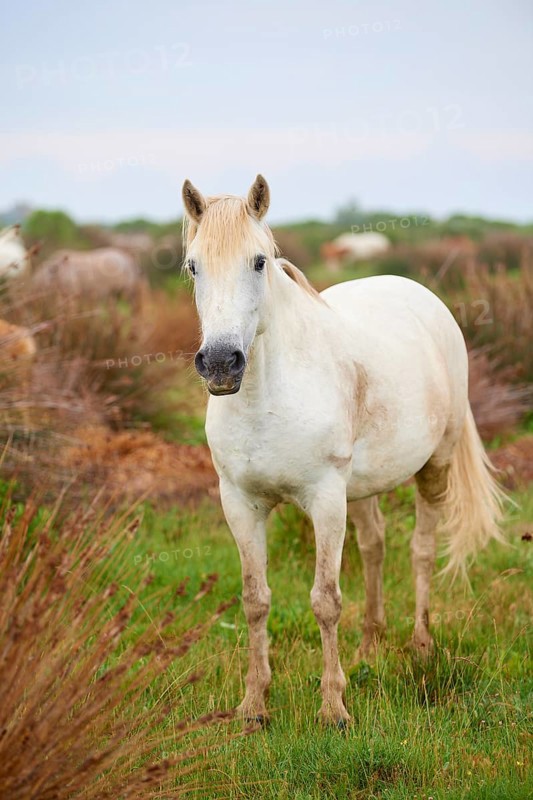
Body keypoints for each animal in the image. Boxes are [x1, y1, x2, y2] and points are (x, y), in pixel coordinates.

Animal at [181, 175, 505, 727]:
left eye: (259, 261)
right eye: (192, 265)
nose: (222, 363)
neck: (267, 397)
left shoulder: (325, 499)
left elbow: (326, 600)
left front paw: (333, 707)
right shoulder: (240, 503)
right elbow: (254, 599)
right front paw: (253, 705)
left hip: (435, 466)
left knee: (421, 549)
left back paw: (421, 645)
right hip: (364, 487)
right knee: (375, 546)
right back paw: (369, 649)